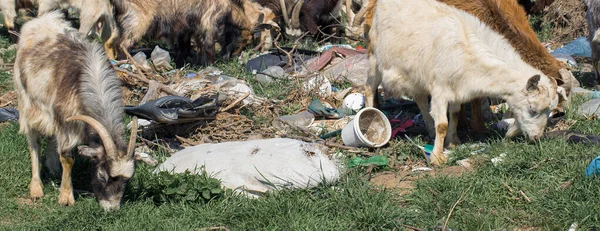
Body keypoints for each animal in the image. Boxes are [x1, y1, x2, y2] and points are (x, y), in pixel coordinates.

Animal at [13, 11, 136, 211]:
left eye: (126, 181)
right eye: (101, 175)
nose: (112, 209)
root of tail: (39, 21)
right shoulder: (66, 124)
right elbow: (68, 158)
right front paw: (66, 197)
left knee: (50, 136)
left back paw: (53, 168)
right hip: (27, 103)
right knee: (34, 142)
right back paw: (36, 188)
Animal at [368, 0, 560, 165]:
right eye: (532, 109)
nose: (536, 138)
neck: (469, 53)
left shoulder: (457, 90)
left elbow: (453, 114)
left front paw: (453, 142)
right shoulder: (440, 89)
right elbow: (442, 124)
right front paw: (437, 158)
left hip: (416, 76)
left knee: (421, 100)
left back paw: (429, 130)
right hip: (375, 56)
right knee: (369, 87)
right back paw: (371, 119)